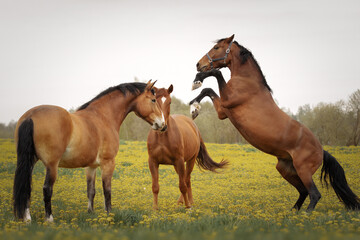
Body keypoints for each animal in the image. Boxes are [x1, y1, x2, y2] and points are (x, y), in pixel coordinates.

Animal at [13, 80, 166, 221]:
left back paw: (27, 219)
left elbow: (91, 191)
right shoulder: (108, 163)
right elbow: (107, 190)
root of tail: (30, 116)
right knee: (47, 189)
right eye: (153, 100)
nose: (163, 125)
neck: (103, 117)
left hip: (30, 161)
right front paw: (109, 215)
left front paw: (90, 213)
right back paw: (49, 219)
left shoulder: (91, 166)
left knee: (26, 187)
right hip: (52, 165)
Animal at [190, 34, 358, 211]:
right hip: (286, 169)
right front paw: (194, 107)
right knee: (303, 191)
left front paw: (197, 82)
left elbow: (216, 74)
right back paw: (292, 213)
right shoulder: (223, 111)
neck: (246, 81)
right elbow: (207, 90)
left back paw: (305, 214)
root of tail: (322, 150)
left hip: (303, 170)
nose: (199, 64)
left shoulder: (227, 101)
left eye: (216, 48)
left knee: (314, 194)